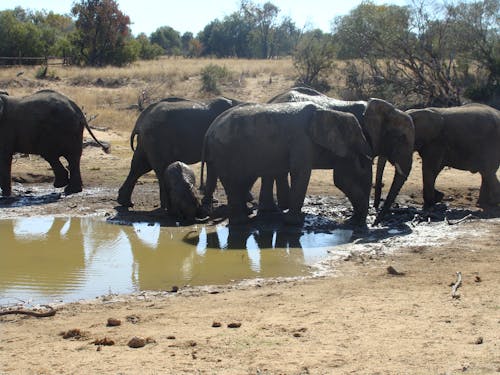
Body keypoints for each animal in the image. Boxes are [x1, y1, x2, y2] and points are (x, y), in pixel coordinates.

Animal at [201, 101, 374, 226]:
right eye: (357, 135)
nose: (352, 222)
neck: (328, 111)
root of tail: (209, 131)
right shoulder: (302, 139)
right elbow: (303, 172)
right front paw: (295, 223)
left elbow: (341, 178)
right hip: (224, 151)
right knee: (234, 181)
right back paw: (241, 222)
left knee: (241, 180)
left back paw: (246, 216)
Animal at [268, 88, 416, 223]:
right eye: (400, 138)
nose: (376, 222)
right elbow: (346, 177)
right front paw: (357, 222)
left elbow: (363, 177)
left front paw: (356, 221)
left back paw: (283, 207)